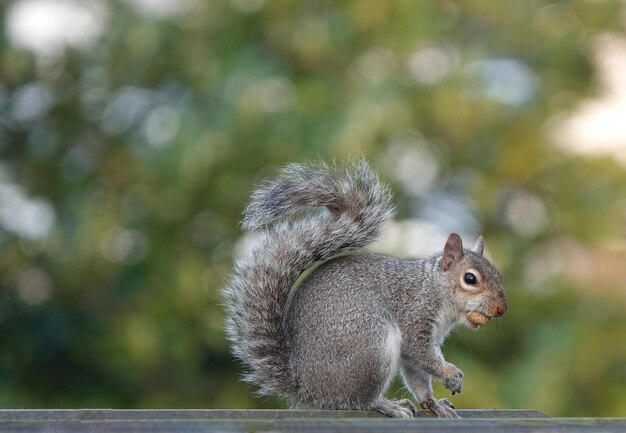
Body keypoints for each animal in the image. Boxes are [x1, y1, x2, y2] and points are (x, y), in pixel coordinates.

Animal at [224, 157, 508, 416]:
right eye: (470, 279)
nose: (501, 309)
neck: (434, 288)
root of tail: (306, 388)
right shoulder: (415, 316)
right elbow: (420, 354)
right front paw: (450, 374)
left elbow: (418, 375)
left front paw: (433, 402)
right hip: (371, 344)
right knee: (359, 400)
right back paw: (387, 405)